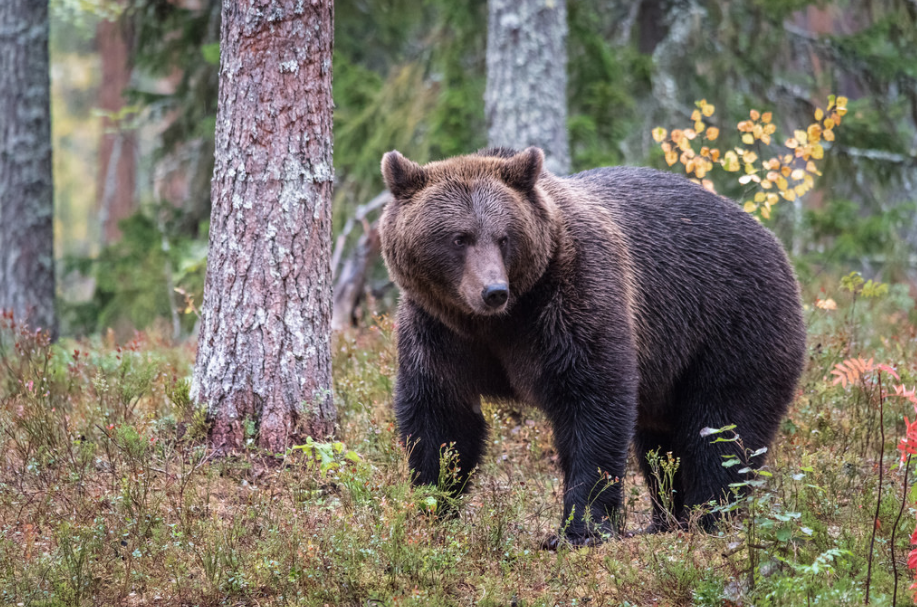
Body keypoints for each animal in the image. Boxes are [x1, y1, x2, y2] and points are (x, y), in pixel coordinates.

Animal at [376, 146, 804, 548]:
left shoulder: (572, 300)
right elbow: (441, 418)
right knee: (661, 444)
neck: (497, 322)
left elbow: (592, 403)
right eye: (459, 237)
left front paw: (578, 529)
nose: (493, 291)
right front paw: (432, 506)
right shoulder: (439, 333)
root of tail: (772, 240)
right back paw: (664, 520)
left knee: (722, 424)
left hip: (731, 323)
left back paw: (707, 515)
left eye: (504, 236)